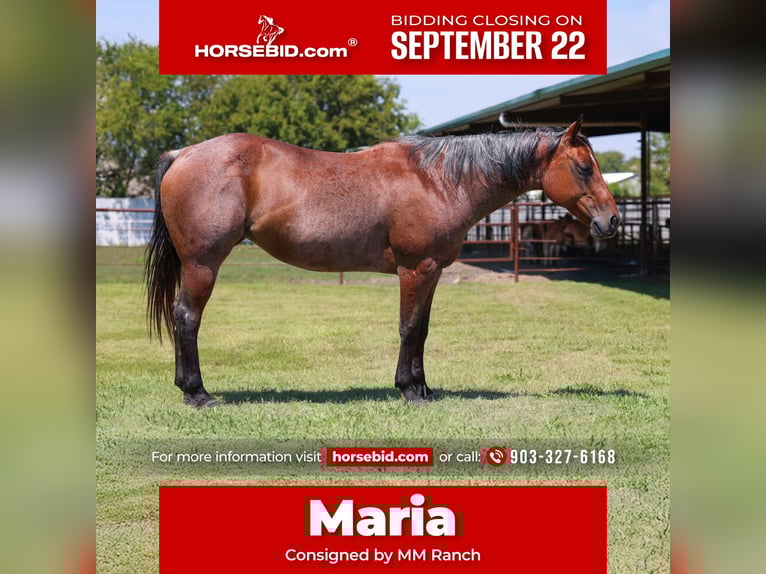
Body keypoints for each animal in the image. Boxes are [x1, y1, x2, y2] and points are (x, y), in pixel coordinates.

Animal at [144, 118, 620, 407]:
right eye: (583, 167)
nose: (612, 220)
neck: (438, 180)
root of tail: (183, 154)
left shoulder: (433, 271)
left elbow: (422, 331)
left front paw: (423, 388)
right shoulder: (416, 269)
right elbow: (408, 328)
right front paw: (409, 390)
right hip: (203, 264)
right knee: (186, 317)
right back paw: (198, 393)